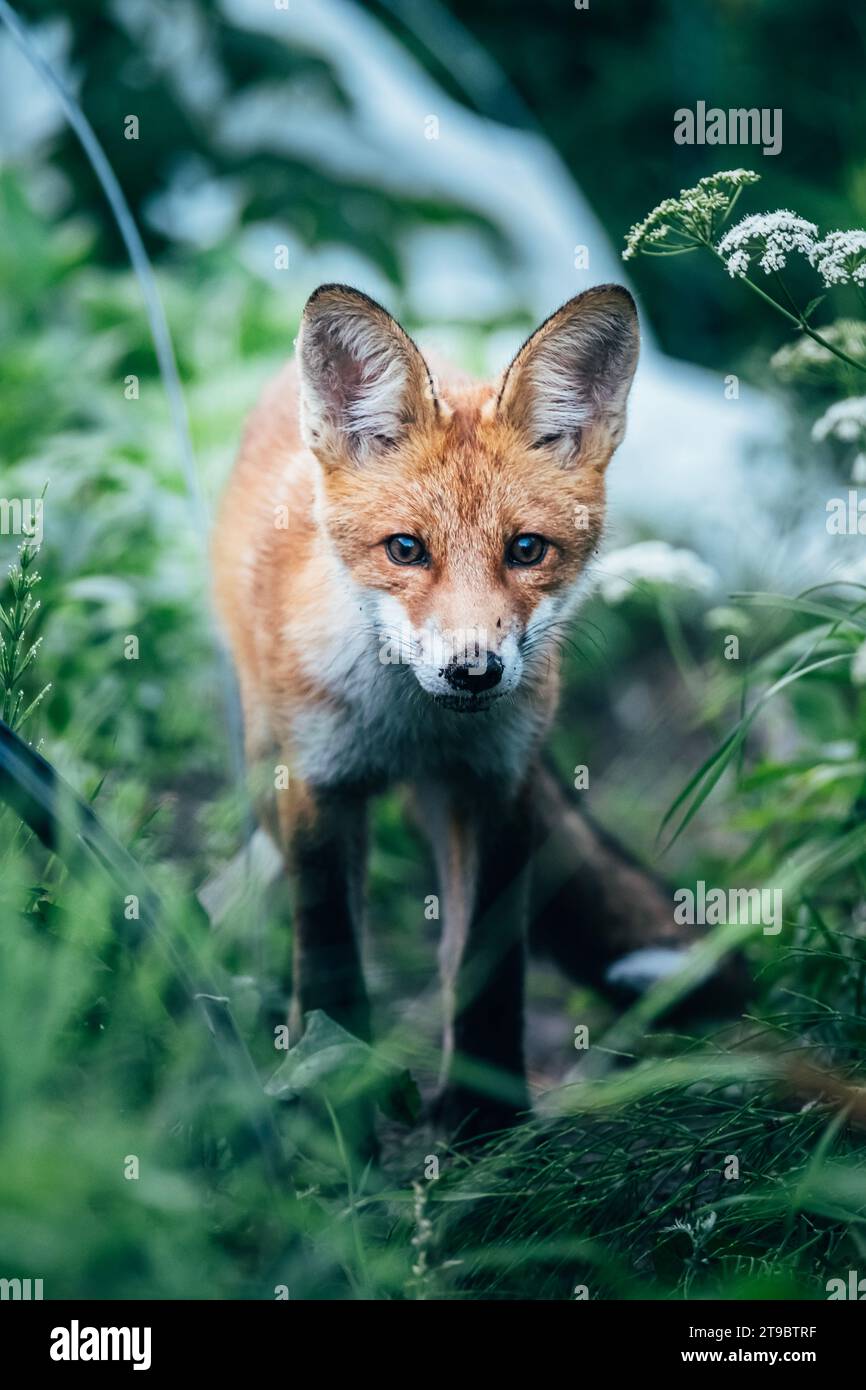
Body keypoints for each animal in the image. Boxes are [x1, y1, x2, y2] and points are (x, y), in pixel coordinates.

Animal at [211, 284, 745, 1139]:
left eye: (526, 551)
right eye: (406, 549)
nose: (473, 672)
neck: (414, 728)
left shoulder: (495, 788)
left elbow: (487, 969)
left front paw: (483, 1116)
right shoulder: (319, 788)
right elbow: (328, 956)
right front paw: (338, 1110)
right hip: (269, 766)